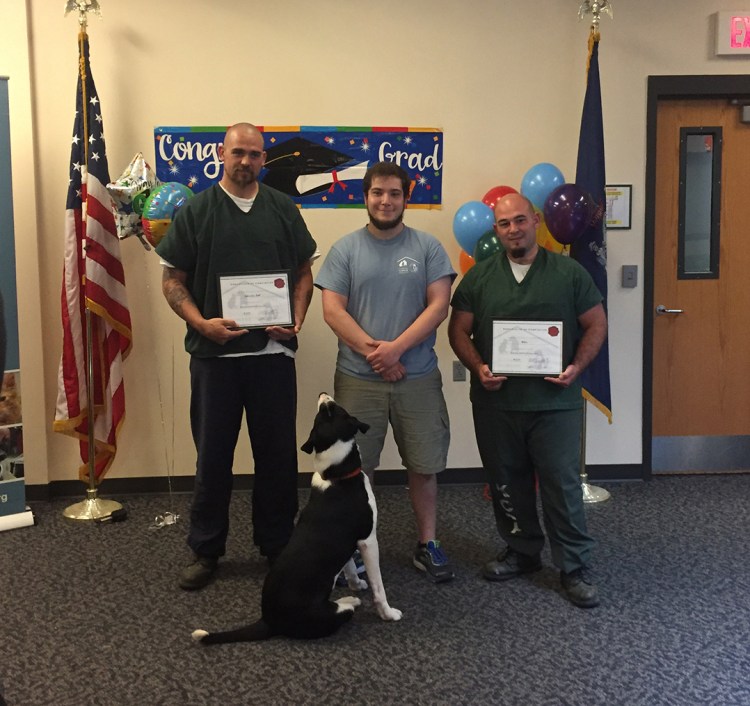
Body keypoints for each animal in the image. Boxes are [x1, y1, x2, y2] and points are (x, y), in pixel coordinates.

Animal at [194, 390, 406, 644]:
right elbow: (378, 587)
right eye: (332, 410)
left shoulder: (348, 543)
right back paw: (350, 601)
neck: (337, 474)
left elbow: (350, 569)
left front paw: (356, 585)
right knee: (344, 610)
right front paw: (388, 613)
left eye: (325, 413)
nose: (323, 394)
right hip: (331, 614)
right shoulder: (367, 540)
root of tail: (268, 620)